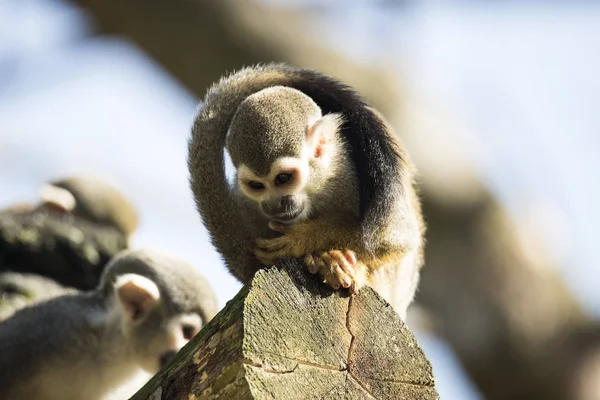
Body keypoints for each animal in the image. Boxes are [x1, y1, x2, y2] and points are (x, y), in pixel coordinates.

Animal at [190, 63, 424, 318]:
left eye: (283, 178)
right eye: (257, 186)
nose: (273, 205)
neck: (316, 184)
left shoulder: (347, 173)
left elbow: (393, 236)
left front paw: (303, 239)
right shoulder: (247, 203)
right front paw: (322, 256)